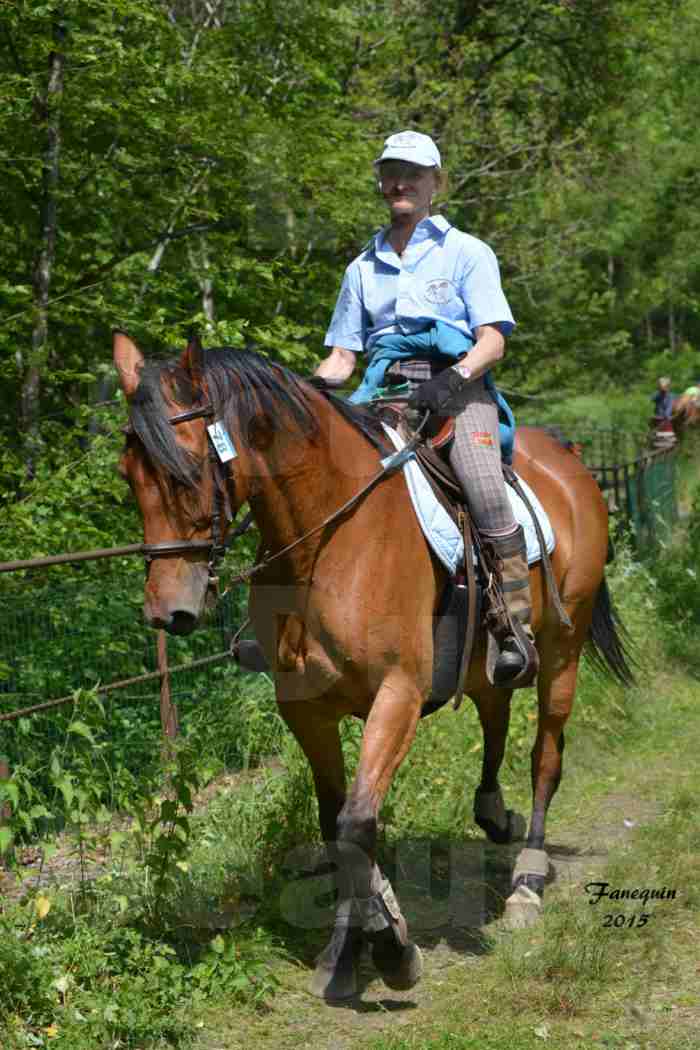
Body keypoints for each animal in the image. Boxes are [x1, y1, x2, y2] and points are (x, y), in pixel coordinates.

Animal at [113, 333, 633, 999]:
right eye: (129, 474)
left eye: (189, 468)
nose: (167, 611)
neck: (328, 539)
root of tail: (571, 464)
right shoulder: (305, 709)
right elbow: (335, 824)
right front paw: (352, 941)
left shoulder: (398, 696)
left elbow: (357, 822)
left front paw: (388, 946)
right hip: (487, 661)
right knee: (495, 709)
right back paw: (493, 813)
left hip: (562, 651)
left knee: (546, 756)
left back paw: (527, 880)